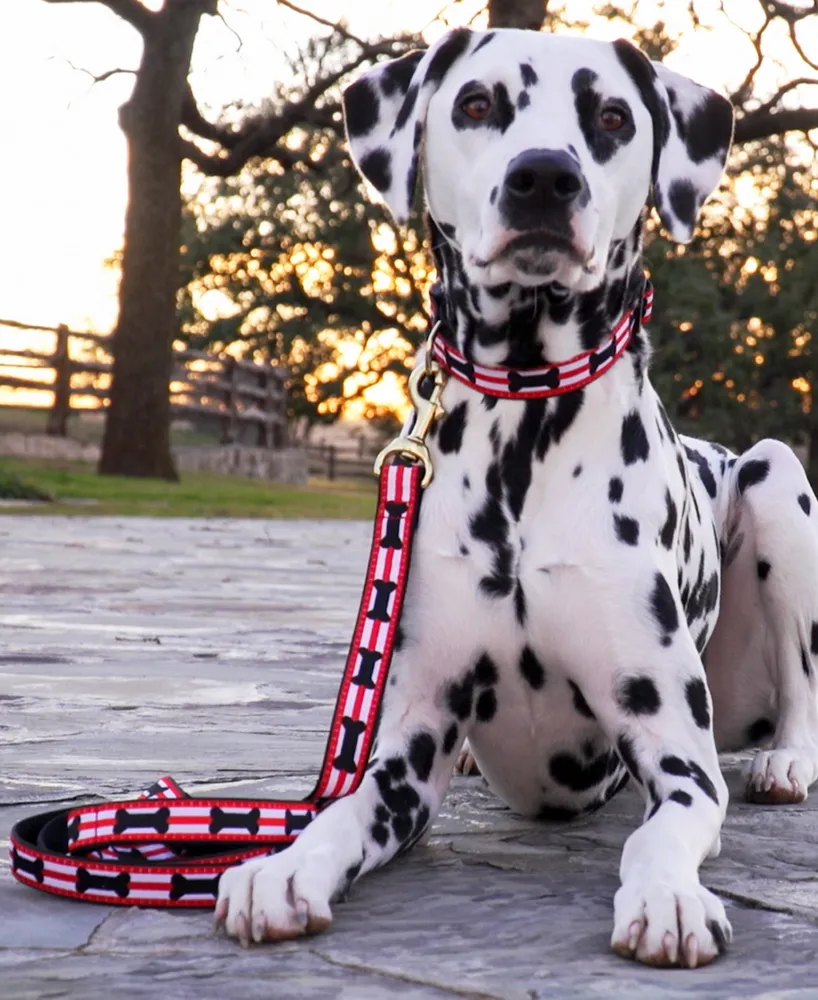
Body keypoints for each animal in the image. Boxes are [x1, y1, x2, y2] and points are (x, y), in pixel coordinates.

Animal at [215, 27, 816, 968]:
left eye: (612, 116)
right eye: (475, 104)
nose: (543, 178)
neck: (525, 430)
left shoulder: (682, 764)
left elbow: (658, 832)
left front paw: (670, 897)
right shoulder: (404, 756)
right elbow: (337, 814)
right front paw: (282, 868)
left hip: (777, 480)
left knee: (802, 685)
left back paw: (787, 761)